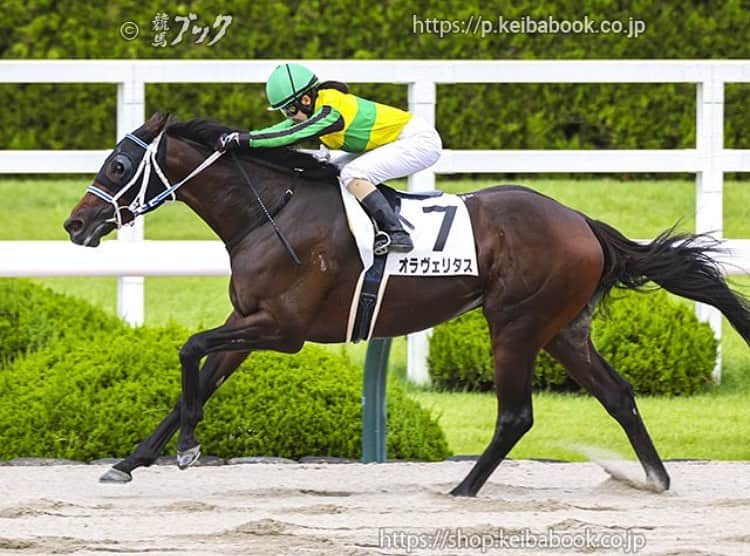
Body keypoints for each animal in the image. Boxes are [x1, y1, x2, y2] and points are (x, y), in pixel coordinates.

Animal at [64, 112, 750, 496]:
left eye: (118, 164)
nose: (75, 225)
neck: (271, 211)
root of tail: (583, 221)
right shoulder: (248, 321)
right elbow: (198, 382)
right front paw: (132, 461)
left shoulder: (281, 329)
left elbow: (189, 350)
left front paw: (185, 448)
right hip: (563, 329)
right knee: (618, 396)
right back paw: (655, 479)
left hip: (515, 323)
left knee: (516, 415)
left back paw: (463, 488)